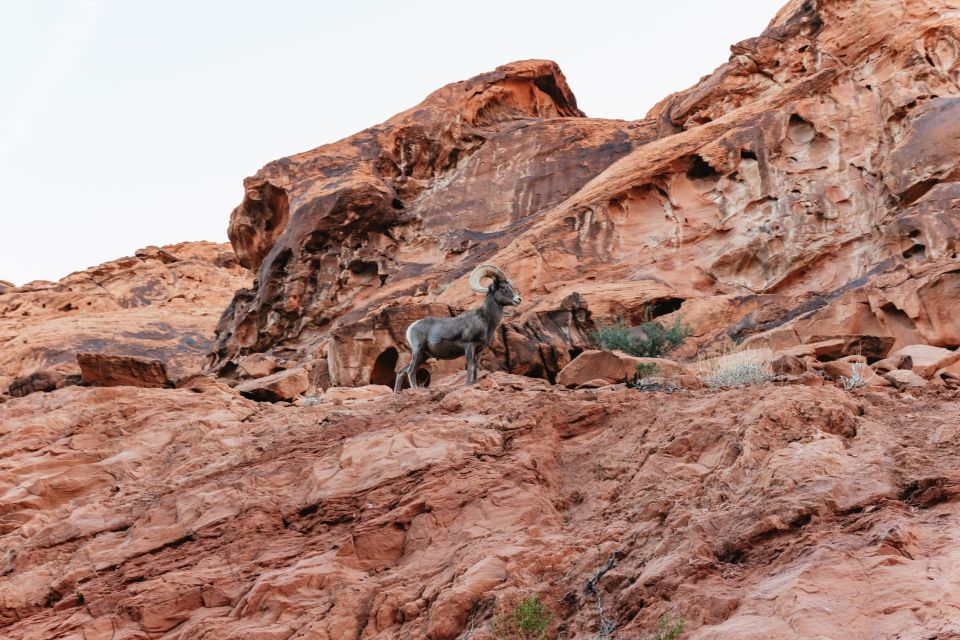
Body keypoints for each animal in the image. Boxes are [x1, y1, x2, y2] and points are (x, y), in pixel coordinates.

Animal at [394, 264, 520, 392]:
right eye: (503, 287)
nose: (518, 299)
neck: (486, 320)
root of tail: (411, 327)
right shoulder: (469, 345)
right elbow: (470, 366)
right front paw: (468, 385)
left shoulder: (479, 349)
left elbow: (476, 367)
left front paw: (475, 383)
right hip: (418, 351)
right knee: (410, 371)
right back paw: (415, 389)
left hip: (423, 356)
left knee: (401, 372)